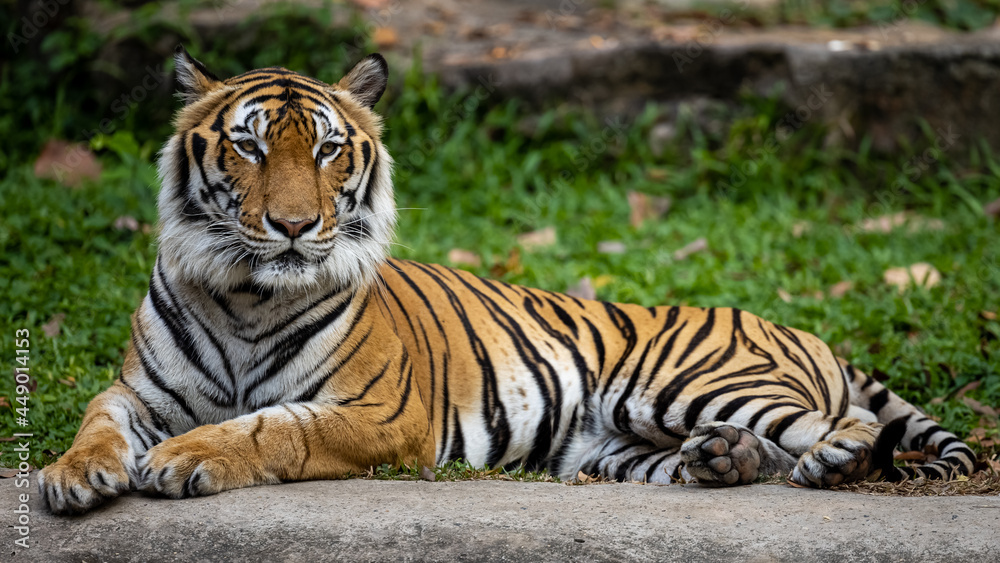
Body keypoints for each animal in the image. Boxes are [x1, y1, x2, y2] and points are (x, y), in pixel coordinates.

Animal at [38, 47, 976, 514]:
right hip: (616, 442)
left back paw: (831, 459)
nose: (296, 226)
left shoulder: (382, 413)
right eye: (250, 145)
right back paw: (724, 460)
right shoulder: (135, 390)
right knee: (748, 456)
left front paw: (188, 456)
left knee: (851, 427)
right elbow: (97, 423)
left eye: (330, 149)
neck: (242, 291)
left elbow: (273, 428)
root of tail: (798, 327)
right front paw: (69, 476)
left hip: (686, 382)